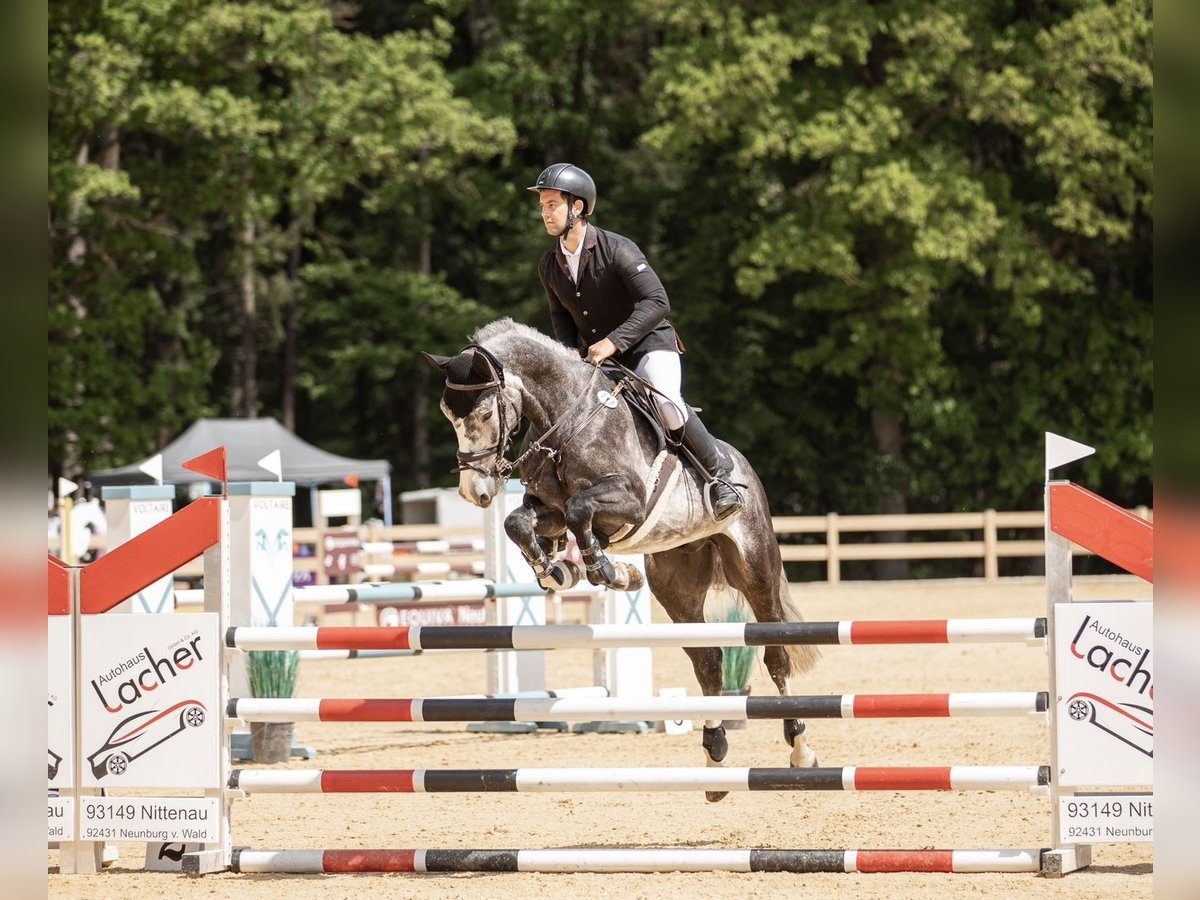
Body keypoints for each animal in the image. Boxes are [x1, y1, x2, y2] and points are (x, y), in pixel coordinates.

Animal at [417, 321, 820, 801]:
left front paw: (608, 570)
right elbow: (519, 522)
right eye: (447, 415)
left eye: (481, 414)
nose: (473, 493)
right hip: (677, 586)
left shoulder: (629, 501)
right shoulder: (547, 509)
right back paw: (715, 760)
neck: (566, 418)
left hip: (755, 569)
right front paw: (556, 570)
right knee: (708, 664)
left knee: (775, 654)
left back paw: (800, 750)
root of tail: (742, 466)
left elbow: (580, 512)